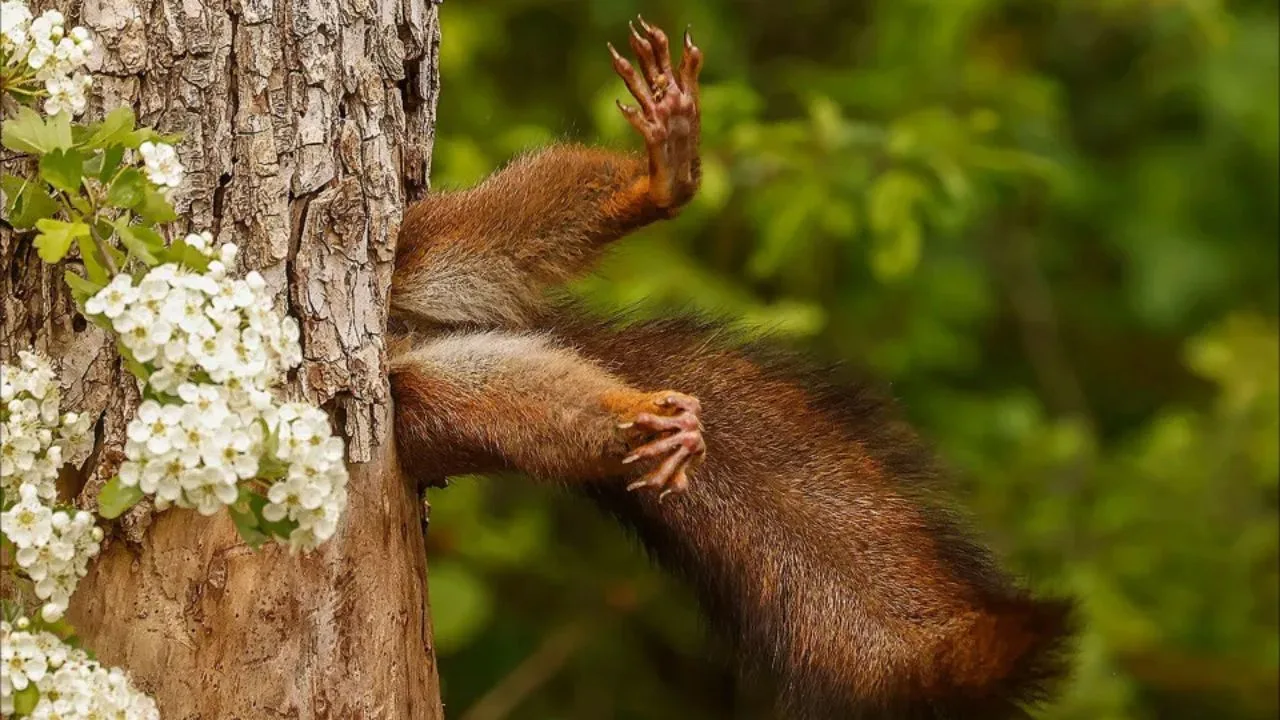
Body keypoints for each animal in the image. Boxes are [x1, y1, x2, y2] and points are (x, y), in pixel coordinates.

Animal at [384, 16, 1075, 717]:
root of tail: (408, 335)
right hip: (425, 404)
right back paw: (645, 420)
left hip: (422, 247)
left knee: (497, 231)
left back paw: (661, 182)